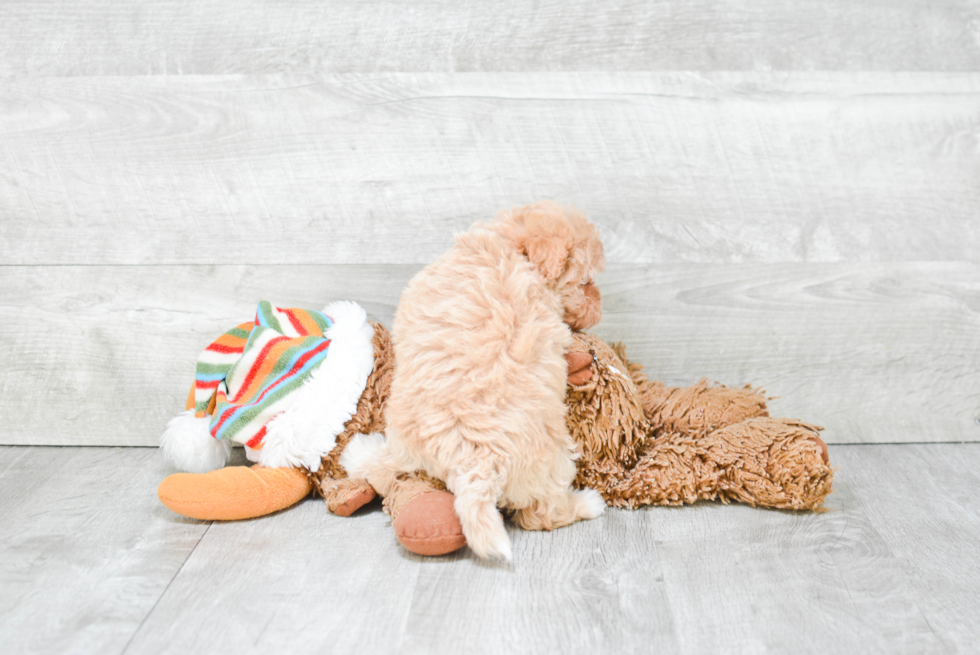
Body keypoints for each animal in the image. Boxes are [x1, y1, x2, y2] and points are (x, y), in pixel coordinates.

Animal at [344, 201, 604, 560]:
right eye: (584, 282)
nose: (600, 307)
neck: (507, 247)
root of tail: (473, 464)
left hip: (407, 439)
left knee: (386, 469)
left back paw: (358, 453)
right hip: (553, 460)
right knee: (544, 514)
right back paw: (588, 503)